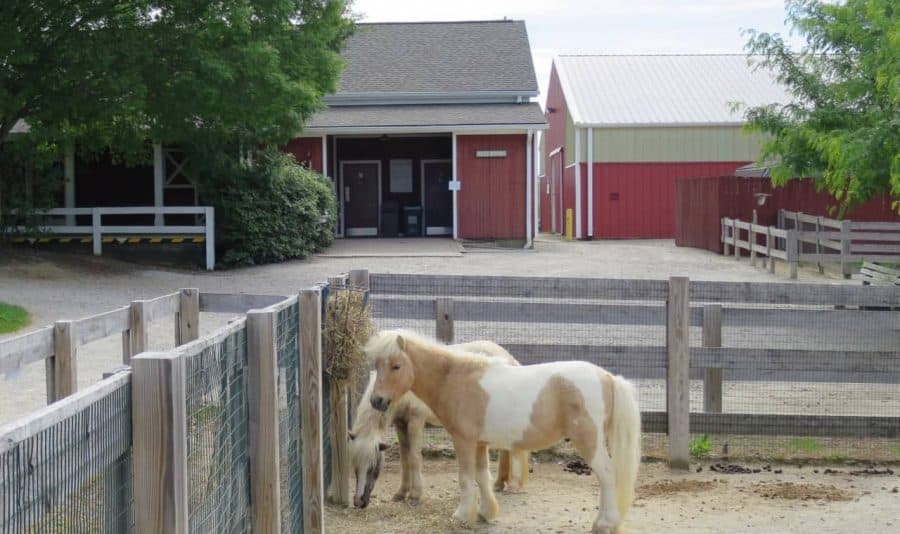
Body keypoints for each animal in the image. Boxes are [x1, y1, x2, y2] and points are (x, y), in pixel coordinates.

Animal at [346, 342, 528, 508]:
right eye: (355, 467)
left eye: (372, 468)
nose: (358, 502)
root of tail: (509, 358)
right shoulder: (400, 424)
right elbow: (404, 459)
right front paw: (401, 493)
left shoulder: (416, 420)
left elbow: (414, 458)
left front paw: (415, 495)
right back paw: (499, 483)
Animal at [366, 330, 640, 534]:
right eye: (377, 365)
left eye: (396, 366)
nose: (377, 401)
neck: (455, 378)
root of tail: (607, 377)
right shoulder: (479, 443)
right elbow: (482, 476)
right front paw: (486, 513)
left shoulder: (463, 441)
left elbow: (466, 478)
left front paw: (462, 515)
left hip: (589, 441)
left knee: (607, 475)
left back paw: (605, 524)